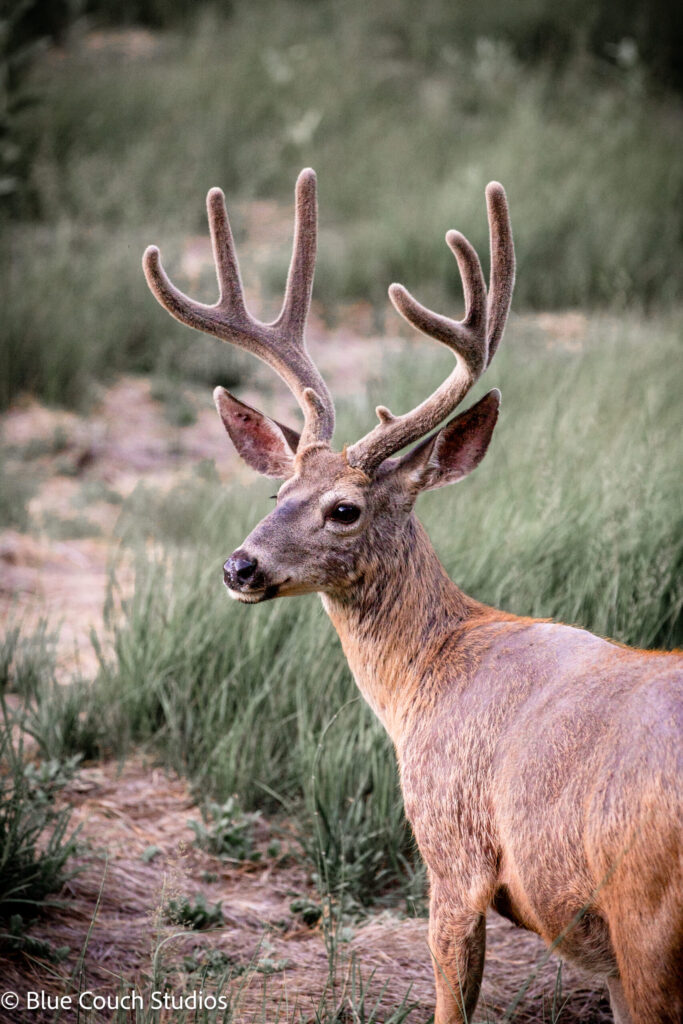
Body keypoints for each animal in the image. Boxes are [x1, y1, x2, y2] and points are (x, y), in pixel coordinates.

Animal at [143, 169, 682, 1024]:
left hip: (648, 909)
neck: (430, 678)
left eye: (344, 509)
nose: (239, 567)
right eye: (277, 490)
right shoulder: (599, 955)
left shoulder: (452, 851)